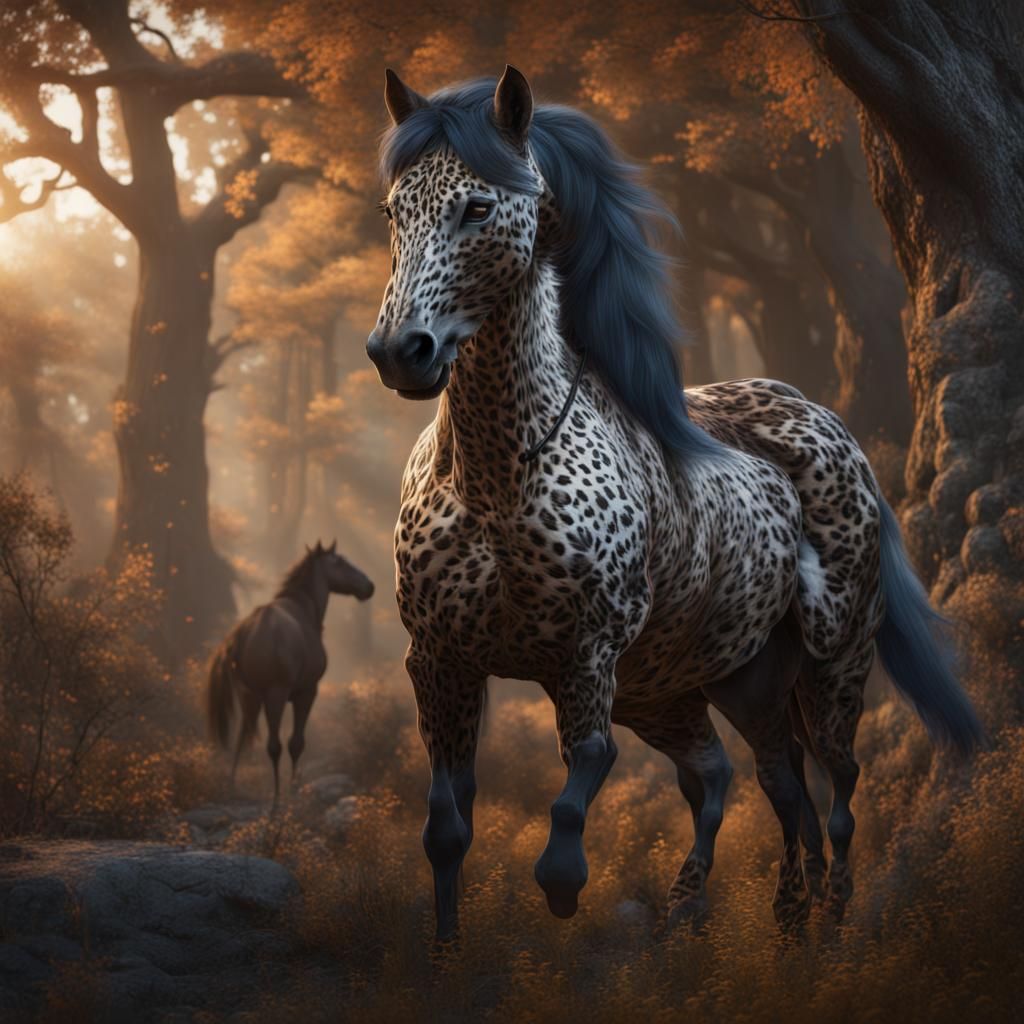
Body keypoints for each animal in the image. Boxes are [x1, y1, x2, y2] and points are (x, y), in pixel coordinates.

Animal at [206, 541, 374, 798]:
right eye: (340, 562)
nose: (368, 586)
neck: (304, 611)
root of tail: (245, 635)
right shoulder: (307, 691)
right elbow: (296, 743)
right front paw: (294, 788)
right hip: (275, 696)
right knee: (274, 746)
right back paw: (277, 798)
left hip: (249, 695)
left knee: (242, 736)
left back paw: (232, 783)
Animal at [366, 66, 983, 942]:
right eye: (394, 211)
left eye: (478, 208)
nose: (400, 353)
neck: (493, 477)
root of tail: (818, 415)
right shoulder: (439, 660)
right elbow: (446, 824)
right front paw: (446, 949)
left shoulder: (586, 656)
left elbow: (583, 775)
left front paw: (563, 888)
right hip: (706, 684)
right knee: (754, 776)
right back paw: (751, 910)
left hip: (828, 666)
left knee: (834, 785)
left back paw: (827, 918)